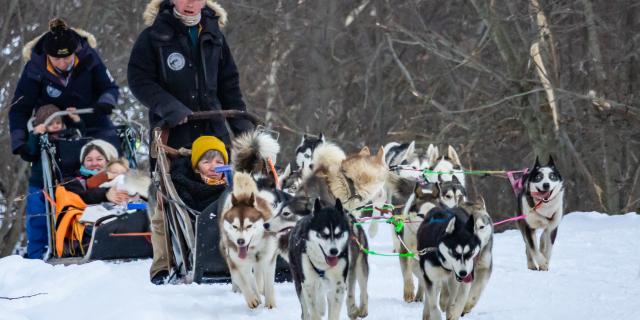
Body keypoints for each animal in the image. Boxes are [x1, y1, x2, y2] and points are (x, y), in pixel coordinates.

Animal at [219, 174, 276, 308]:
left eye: (249, 226)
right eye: (234, 226)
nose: (240, 241)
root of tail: (243, 194)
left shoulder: (269, 259)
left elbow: (269, 284)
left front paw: (270, 305)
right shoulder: (235, 262)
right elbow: (244, 281)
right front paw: (252, 299)